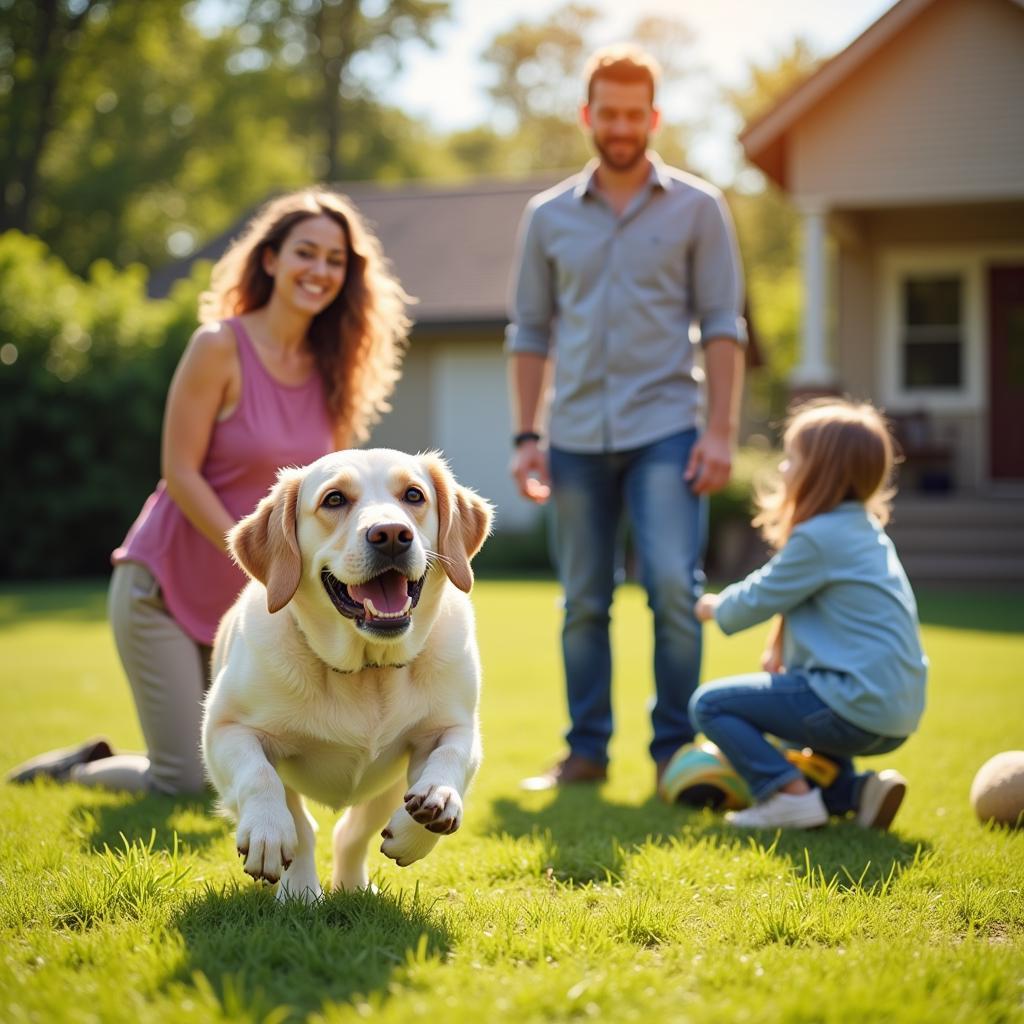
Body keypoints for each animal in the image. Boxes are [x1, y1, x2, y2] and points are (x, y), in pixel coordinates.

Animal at [200, 448, 491, 905]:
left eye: (414, 494)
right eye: (334, 499)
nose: (391, 534)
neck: (366, 670)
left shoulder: (454, 726)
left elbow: (452, 757)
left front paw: (436, 804)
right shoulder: (224, 729)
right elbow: (259, 778)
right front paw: (267, 831)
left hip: (384, 788)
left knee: (350, 834)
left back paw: (353, 885)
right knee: (304, 828)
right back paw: (300, 893)